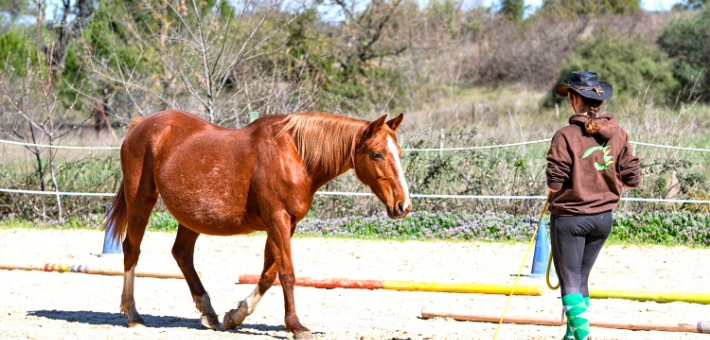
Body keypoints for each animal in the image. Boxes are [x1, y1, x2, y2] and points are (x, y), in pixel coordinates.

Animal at [104, 110, 412, 338]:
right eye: (377, 154)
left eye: (398, 152)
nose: (404, 205)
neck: (295, 155)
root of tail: (140, 125)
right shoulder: (277, 219)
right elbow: (286, 273)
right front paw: (296, 326)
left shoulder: (286, 224)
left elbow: (268, 273)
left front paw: (236, 315)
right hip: (141, 200)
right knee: (132, 250)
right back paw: (133, 314)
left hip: (190, 216)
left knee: (181, 254)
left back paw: (209, 313)